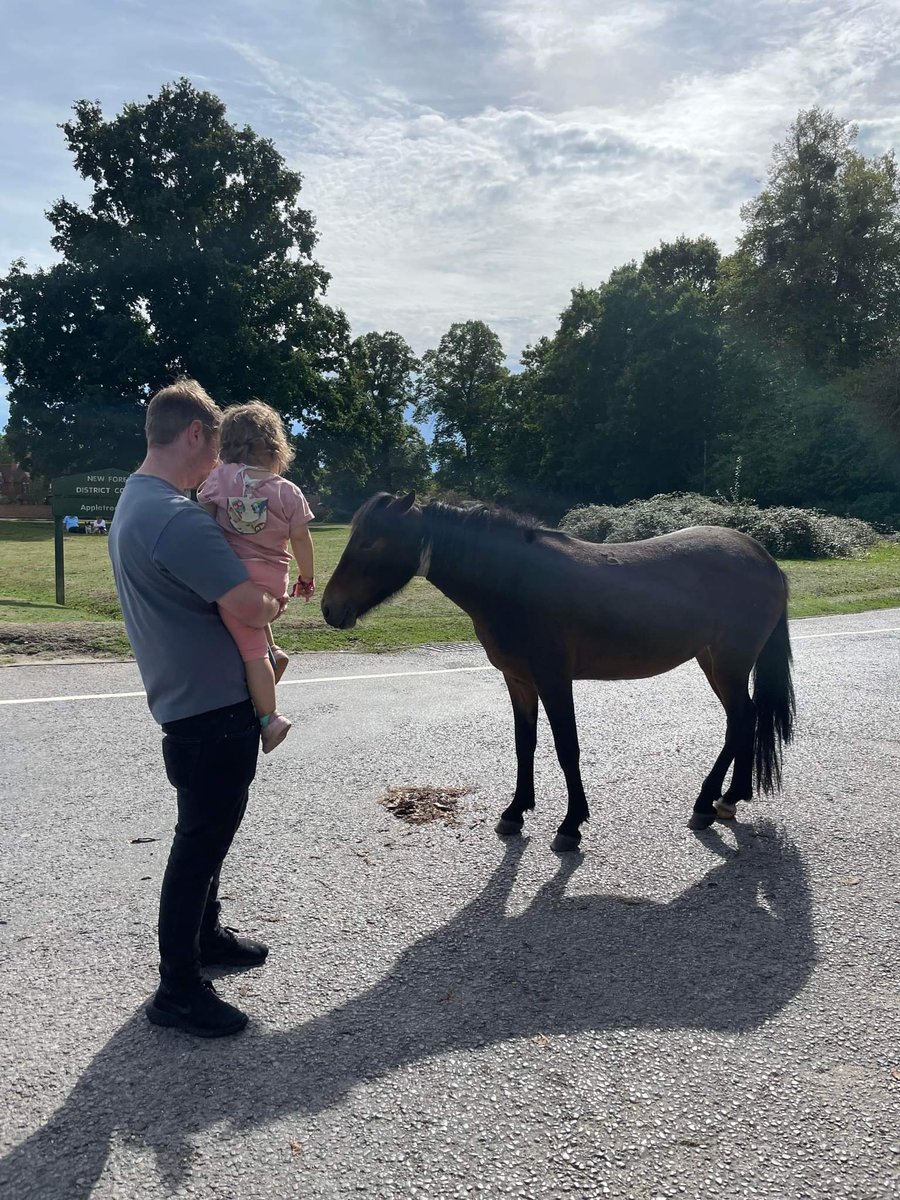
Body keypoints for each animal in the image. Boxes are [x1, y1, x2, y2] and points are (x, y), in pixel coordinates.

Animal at [322, 492, 795, 852]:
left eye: (371, 542)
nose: (330, 608)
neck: (517, 582)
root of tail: (763, 557)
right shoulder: (518, 681)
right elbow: (524, 745)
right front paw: (515, 812)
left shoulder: (554, 680)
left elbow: (567, 748)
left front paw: (571, 825)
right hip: (713, 661)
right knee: (744, 719)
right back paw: (728, 798)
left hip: (729, 663)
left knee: (741, 719)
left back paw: (708, 801)